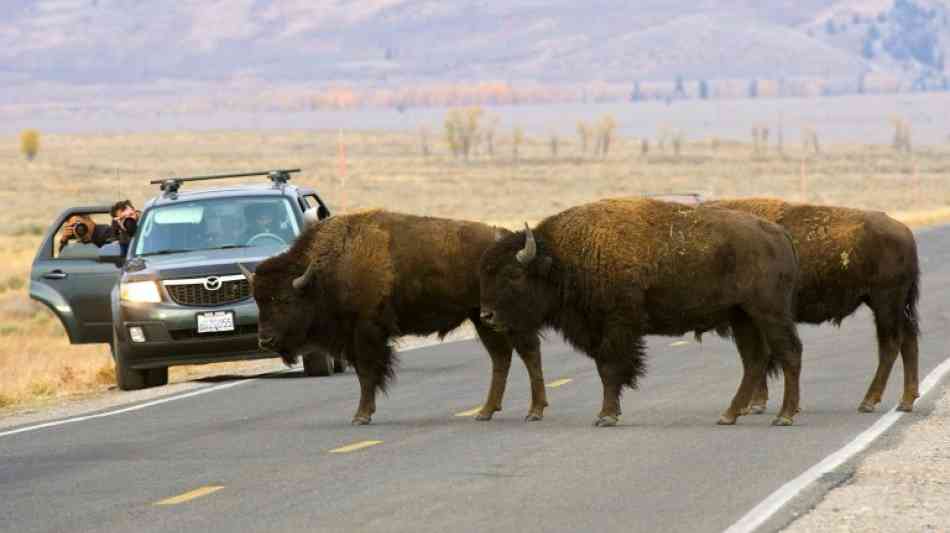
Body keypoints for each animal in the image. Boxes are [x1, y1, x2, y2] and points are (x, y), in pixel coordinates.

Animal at [240, 208, 552, 424]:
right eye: (258, 300)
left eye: (285, 299)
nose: (265, 340)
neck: (326, 269)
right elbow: (365, 375)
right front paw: (364, 413)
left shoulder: (366, 334)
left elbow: (367, 374)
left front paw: (361, 416)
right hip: (482, 319)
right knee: (502, 357)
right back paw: (486, 411)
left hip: (502, 318)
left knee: (528, 353)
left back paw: (534, 411)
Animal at [480, 197, 808, 426]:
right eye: (485, 273)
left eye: (514, 275)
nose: (487, 316)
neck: (563, 259)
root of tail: (779, 234)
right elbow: (606, 369)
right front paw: (609, 413)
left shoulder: (616, 327)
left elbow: (610, 369)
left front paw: (606, 416)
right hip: (741, 317)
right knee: (754, 361)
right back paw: (729, 415)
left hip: (769, 313)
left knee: (789, 353)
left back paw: (784, 416)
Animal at [712, 198, 920, 412]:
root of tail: (904, 231)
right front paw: (756, 404)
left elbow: (760, 358)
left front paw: (755, 405)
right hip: (892, 306)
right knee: (908, 340)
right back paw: (905, 401)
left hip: (885, 304)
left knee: (891, 345)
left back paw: (868, 402)